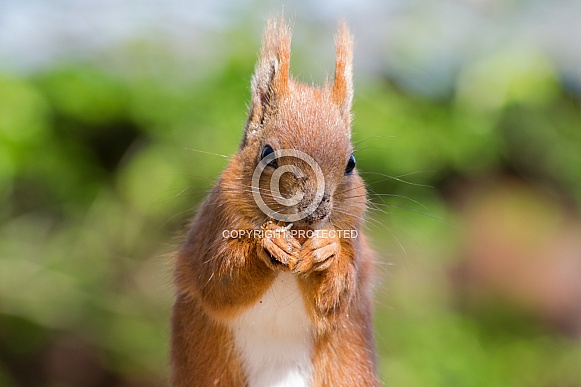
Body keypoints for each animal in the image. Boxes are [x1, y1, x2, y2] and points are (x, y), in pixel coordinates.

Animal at [170, 16, 378, 386]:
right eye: (267, 153)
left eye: (351, 163)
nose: (314, 209)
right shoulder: (215, 228)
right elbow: (221, 281)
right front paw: (268, 245)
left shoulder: (355, 247)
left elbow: (337, 295)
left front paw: (326, 250)